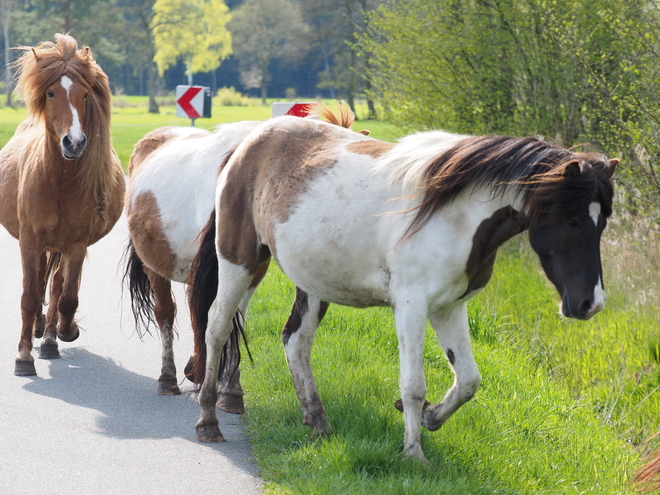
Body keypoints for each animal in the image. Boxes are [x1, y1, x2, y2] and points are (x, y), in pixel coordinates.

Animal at [0, 35, 125, 376]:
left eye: (85, 94)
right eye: (51, 93)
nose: (75, 142)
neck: (59, 182)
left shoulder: (76, 245)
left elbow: (67, 298)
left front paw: (66, 332)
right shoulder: (30, 241)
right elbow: (30, 296)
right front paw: (23, 357)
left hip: (61, 248)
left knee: (55, 287)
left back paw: (49, 340)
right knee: (41, 283)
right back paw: (38, 331)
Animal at [121, 102, 364, 408]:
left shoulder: (250, 269)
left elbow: (234, 319)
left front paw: (229, 390)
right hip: (155, 266)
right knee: (166, 312)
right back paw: (168, 377)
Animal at [187, 118, 620, 460]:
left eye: (602, 223)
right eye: (573, 222)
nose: (591, 303)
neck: (456, 216)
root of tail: (247, 144)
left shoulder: (449, 308)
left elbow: (468, 381)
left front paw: (431, 417)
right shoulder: (412, 306)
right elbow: (413, 384)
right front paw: (414, 453)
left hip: (311, 282)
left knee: (296, 341)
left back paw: (318, 423)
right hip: (240, 262)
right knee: (217, 327)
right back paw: (208, 420)